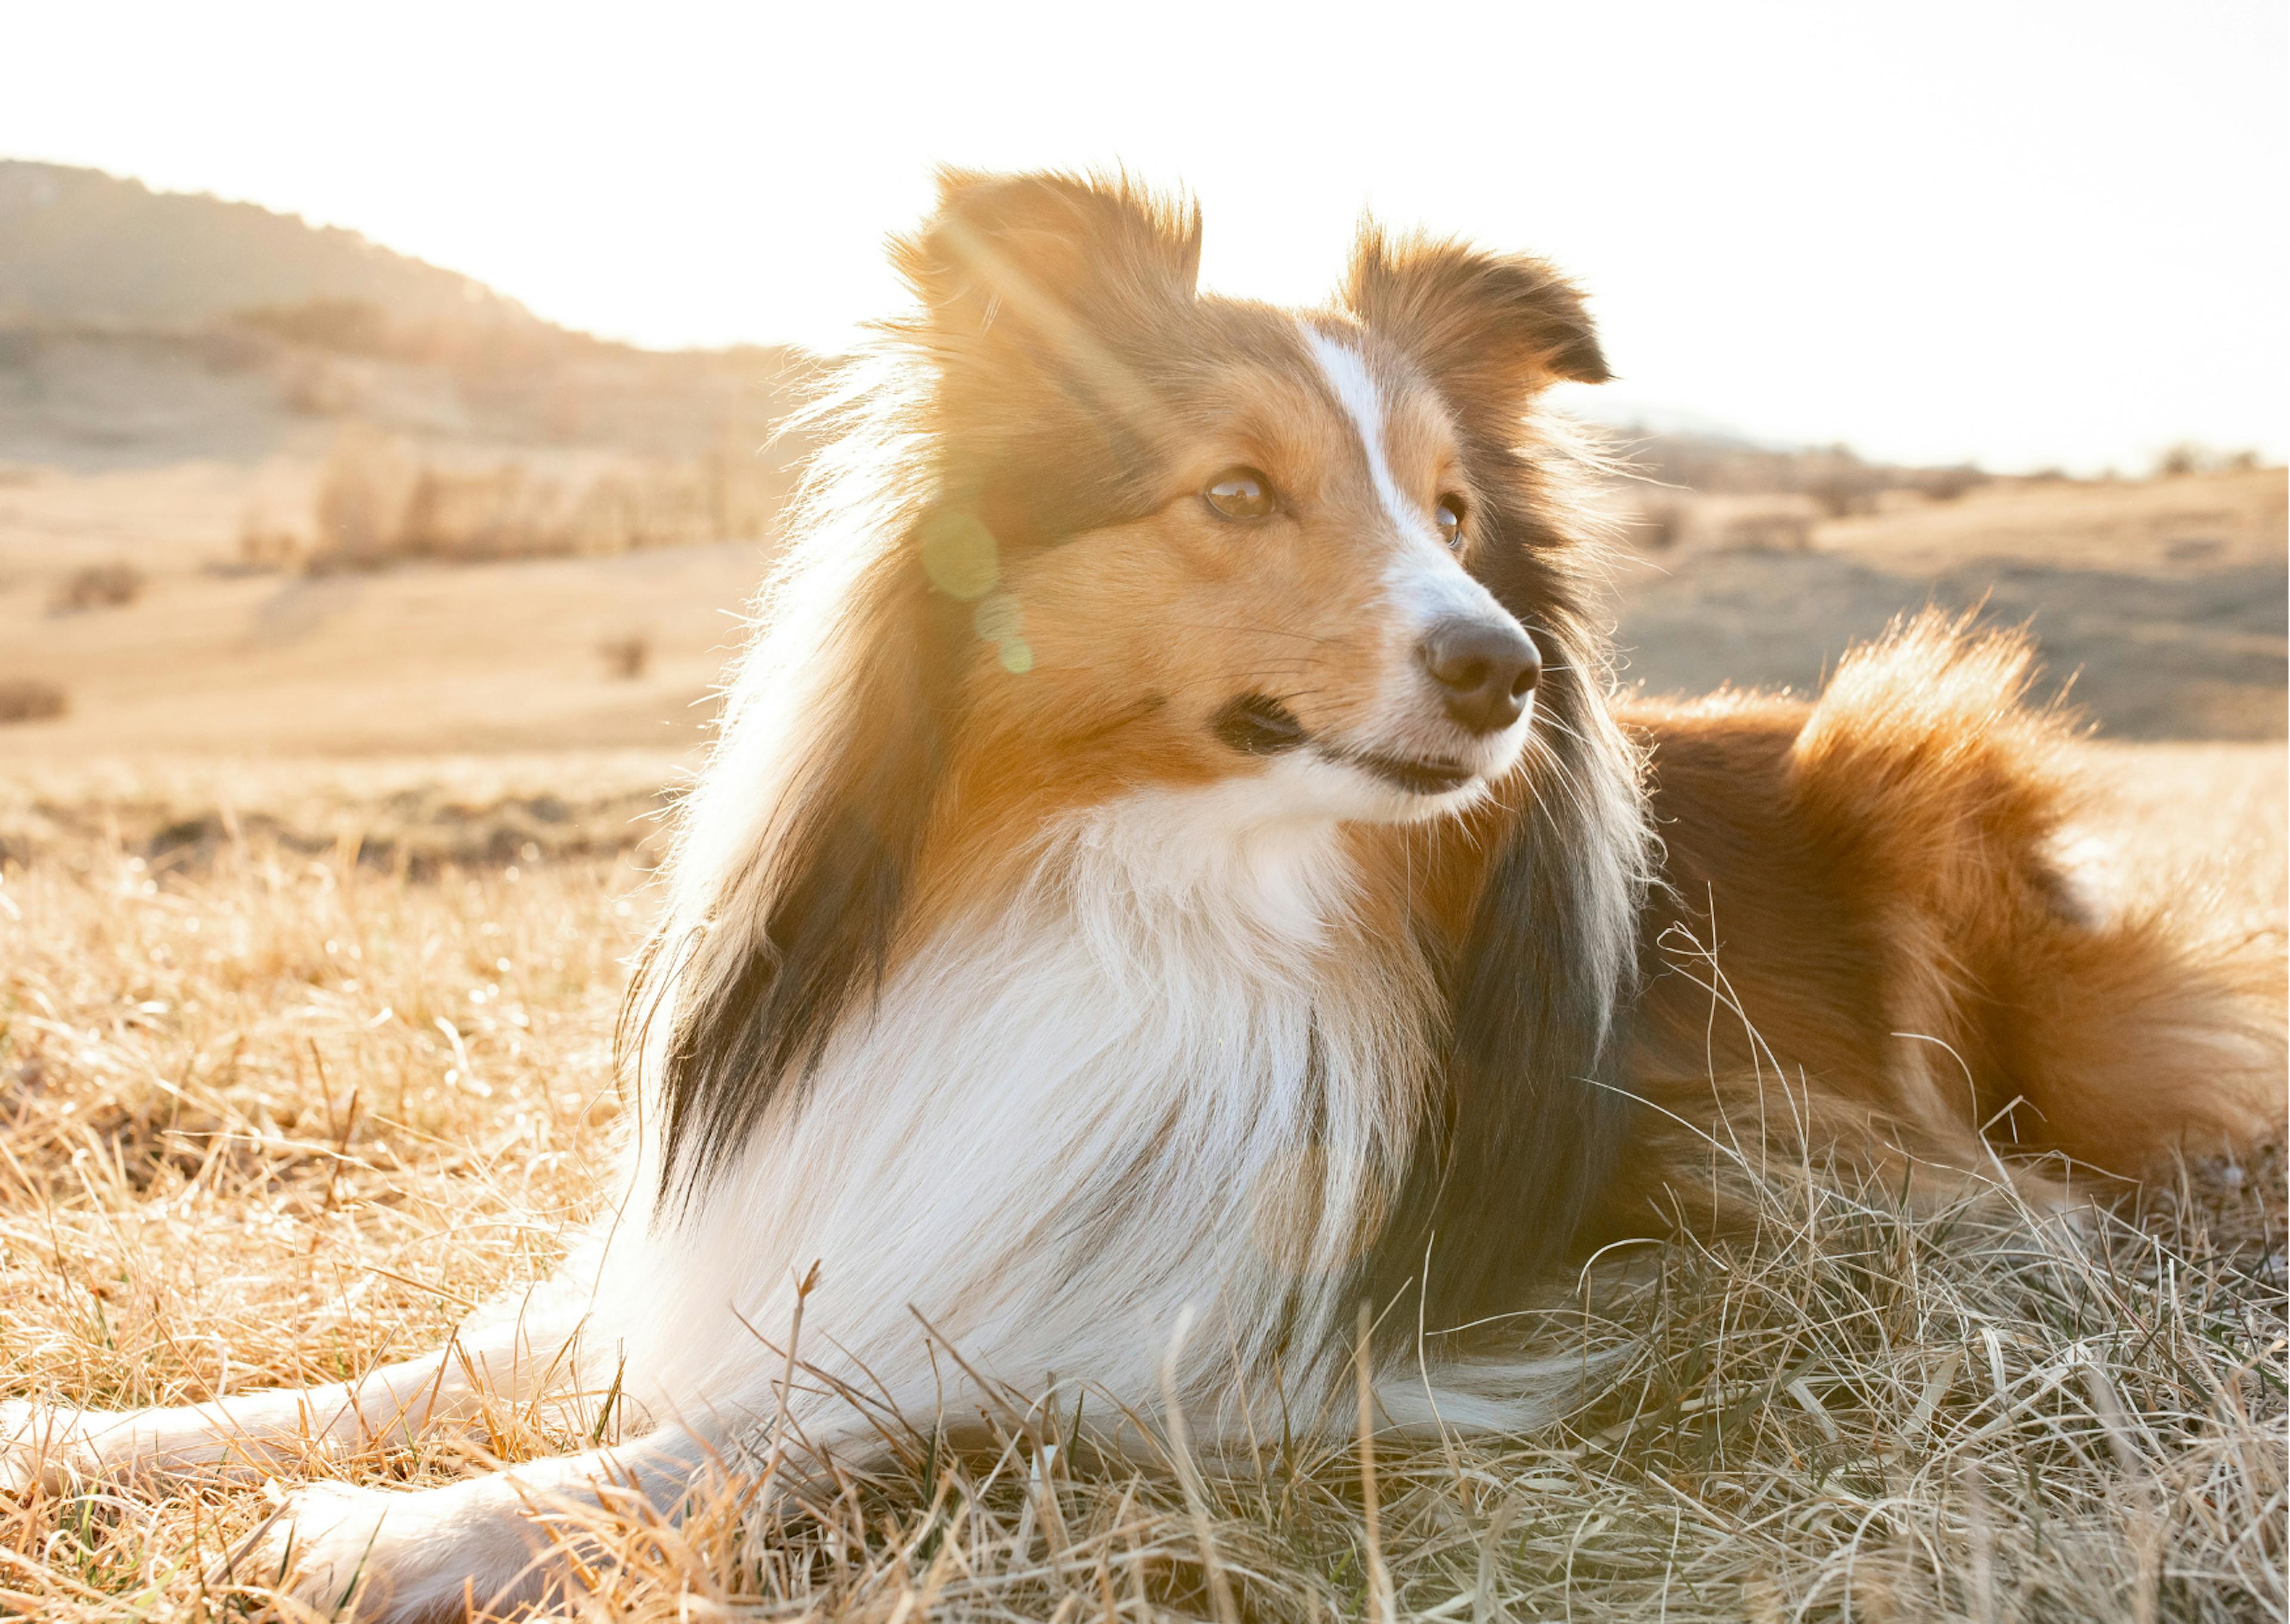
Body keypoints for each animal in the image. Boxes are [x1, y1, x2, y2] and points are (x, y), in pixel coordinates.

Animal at [4, 171, 2290, 1612]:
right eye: (1236, 492)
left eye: (1453, 510)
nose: (1504, 667)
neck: (1152, 895)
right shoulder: (803, 1207)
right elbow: (419, 1369)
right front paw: (87, 1432)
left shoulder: (1314, 1344)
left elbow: (796, 1423)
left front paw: (387, 1534)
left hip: (1919, 756)